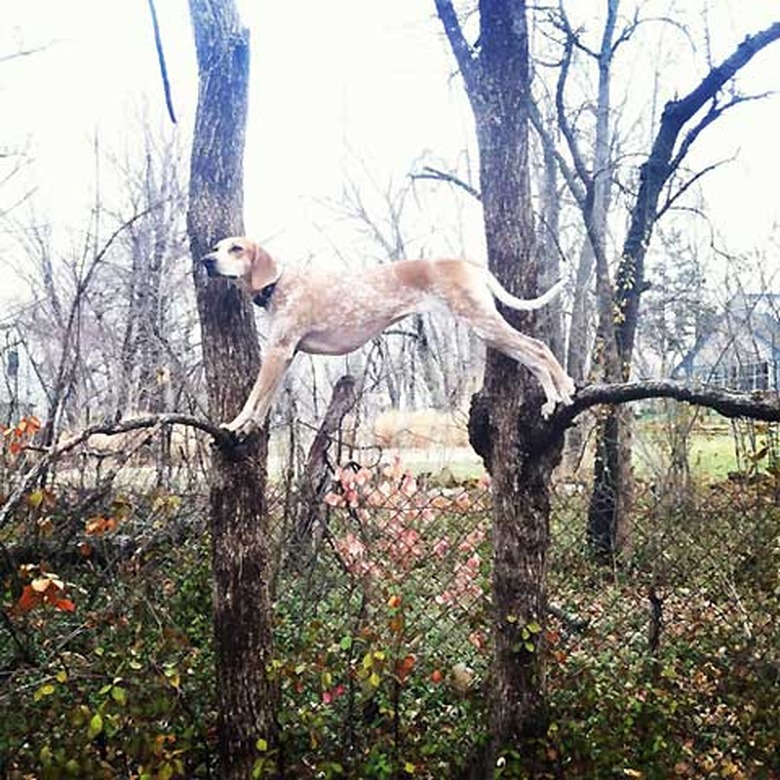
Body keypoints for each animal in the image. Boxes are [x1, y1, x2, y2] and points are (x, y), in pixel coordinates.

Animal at [204, 236, 576, 438]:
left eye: (236, 249)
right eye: (217, 247)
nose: (207, 259)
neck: (278, 284)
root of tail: (468, 264)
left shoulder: (278, 351)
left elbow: (252, 397)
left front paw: (234, 424)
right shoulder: (286, 355)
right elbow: (264, 401)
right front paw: (248, 428)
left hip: (482, 322)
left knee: (539, 348)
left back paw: (566, 390)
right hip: (488, 331)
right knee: (533, 357)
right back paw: (552, 401)